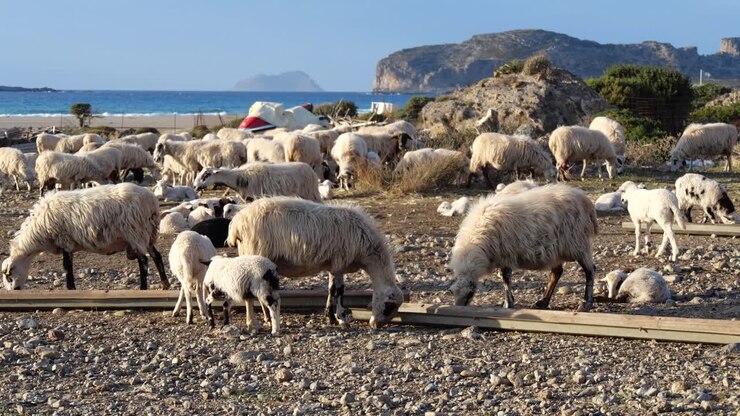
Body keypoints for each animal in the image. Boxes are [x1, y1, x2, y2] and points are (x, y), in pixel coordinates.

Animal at [1, 183, 169, 290]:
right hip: (147, 235)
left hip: (135, 233)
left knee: (144, 261)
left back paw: (143, 287)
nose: (13, 291)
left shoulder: (65, 240)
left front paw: (70, 288)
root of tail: (152, 202)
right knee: (157, 256)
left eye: (9, 277)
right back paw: (165, 284)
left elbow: (66, 267)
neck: (37, 233)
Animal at [227, 196, 404, 328]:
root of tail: (237, 223)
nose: (376, 325)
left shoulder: (333, 264)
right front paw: (341, 318)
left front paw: (330, 316)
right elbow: (339, 290)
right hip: (254, 254)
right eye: (389, 305)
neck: (367, 251)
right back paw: (254, 323)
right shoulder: (340, 262)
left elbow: (331, 289)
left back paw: (266, 318)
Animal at [449, 184, 598, 311]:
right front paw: (509, 301)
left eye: (469, 295)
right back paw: (543, 302)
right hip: (557, 249)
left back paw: (586, 303)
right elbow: (504, 278)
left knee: (590, 271)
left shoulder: (506, 254)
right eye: (453, 293)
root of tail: (585, 200)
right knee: (557, 272)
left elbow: (505, 278)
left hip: (578, 244)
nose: (459, 309)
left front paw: (508, 303)